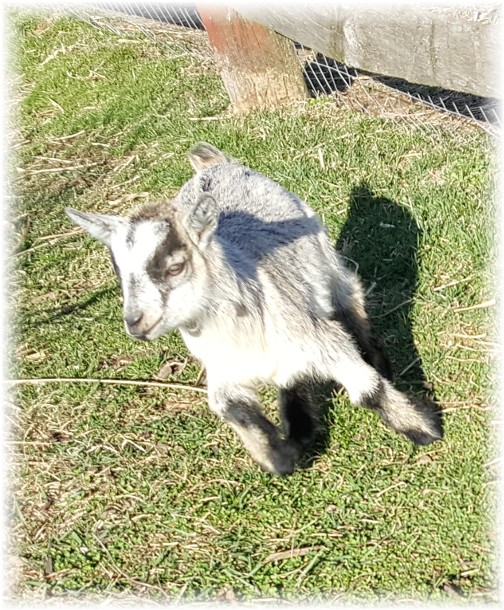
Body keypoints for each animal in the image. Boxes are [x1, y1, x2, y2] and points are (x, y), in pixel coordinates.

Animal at [66, 142, 440, 476]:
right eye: (118, 272)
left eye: (175, 267)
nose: (135, 322)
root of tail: (216, 165)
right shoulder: (224, 369)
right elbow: (230, 407)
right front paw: (279, 457)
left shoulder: (318, 337)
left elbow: (366, 389)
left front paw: (425, 430)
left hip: (324, 256)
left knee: (349, 294)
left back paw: (378, 361)